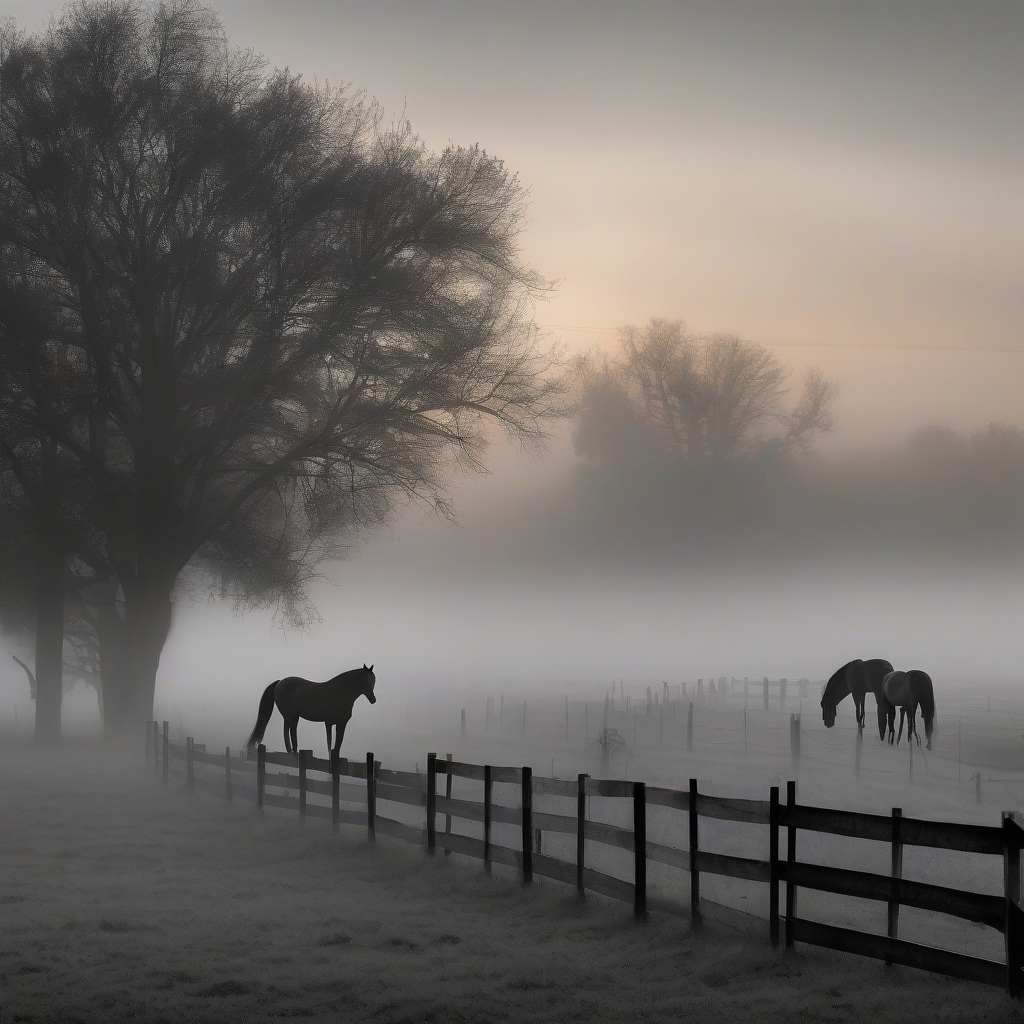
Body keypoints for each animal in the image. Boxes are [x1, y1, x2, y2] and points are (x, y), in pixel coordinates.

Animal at [245, 663, 378, 761]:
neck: (340, 693)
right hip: (293, 716)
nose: (373, 699)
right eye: (366, 681)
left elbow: (338, 744)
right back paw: (294, 752)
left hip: (288, 716)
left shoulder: (342, 723)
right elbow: (329, 744)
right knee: (292, 730)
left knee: (286, 729)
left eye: (374, 680)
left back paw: (289, 751)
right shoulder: (328, 723)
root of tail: (280, 682)